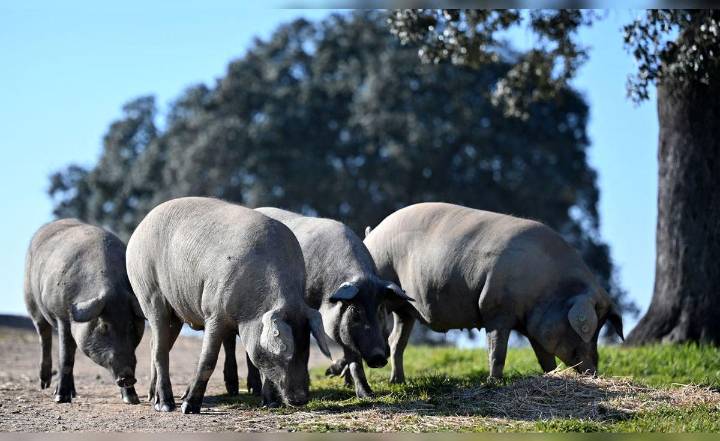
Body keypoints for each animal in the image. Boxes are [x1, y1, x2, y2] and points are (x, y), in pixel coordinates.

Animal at [24, 219, 145, 404]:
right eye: (104, 326)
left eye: (132, 325)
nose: (128, 376)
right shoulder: (62, 317)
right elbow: (66, 358)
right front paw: (60, 399)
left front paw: (132, 399)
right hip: (32, 303)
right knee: (45, 338)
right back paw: (46, 386)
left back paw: (72, 393)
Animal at [125, 197, 331, 413]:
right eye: (284, 352)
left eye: (306, 347)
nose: (301, 399)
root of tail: (141, 225)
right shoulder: (214, 312)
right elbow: (208, 359)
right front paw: (188, 408)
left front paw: (271, 404)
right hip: (150, 293)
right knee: (160, 350)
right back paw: (166, 405)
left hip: (176, 312)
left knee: (156, 344)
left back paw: (153, 398)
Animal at [221, 207, 413, 398]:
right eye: (356, 312)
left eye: (381, 309)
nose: (379, 356)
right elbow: (352, 356)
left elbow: (351, 354)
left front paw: (362, 392)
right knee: (231, 342)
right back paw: (240, 390)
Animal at [363, 202, 624, 382]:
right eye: (588, 330)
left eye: (600, 330)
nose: (594, 371)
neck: (548, 287)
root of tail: (371, 234)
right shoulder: (496, 309)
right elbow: (497, 351)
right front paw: (493, 381)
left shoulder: (533, 326)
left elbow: (544, 356)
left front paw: (551, 375)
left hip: (405, 309)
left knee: (396, 341)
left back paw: (398, 381)